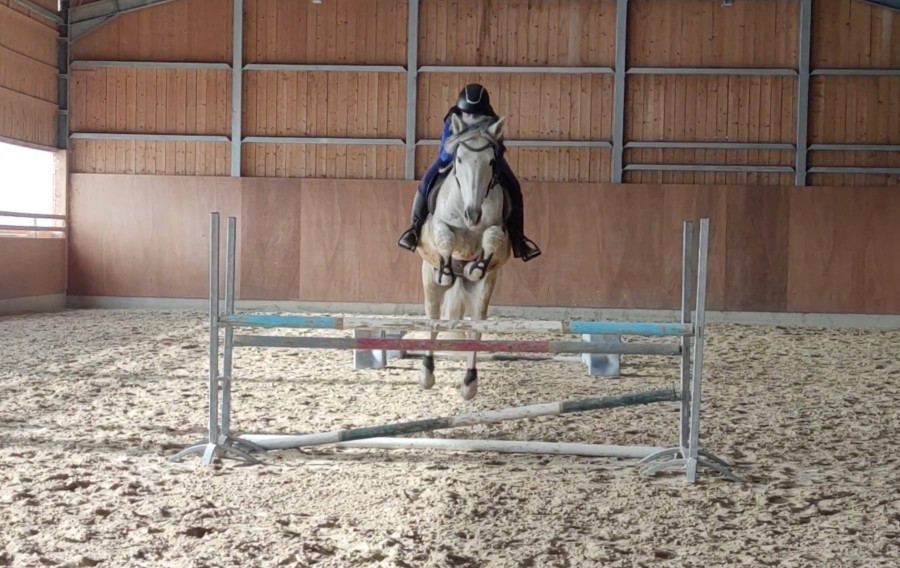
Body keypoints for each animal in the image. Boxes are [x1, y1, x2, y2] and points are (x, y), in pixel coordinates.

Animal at [415, 114, 512, 400]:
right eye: (459, 159)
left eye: (491, 161)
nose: (473, 214)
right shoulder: (436, 227)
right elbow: (445, 237)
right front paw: (447, 270)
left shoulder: (498, 232)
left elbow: (492, 237)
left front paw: (476, 266)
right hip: (428, 280)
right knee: (433, 320)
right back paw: (427, 373)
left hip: (483, 290)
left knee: (477, 326)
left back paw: (470, 382)